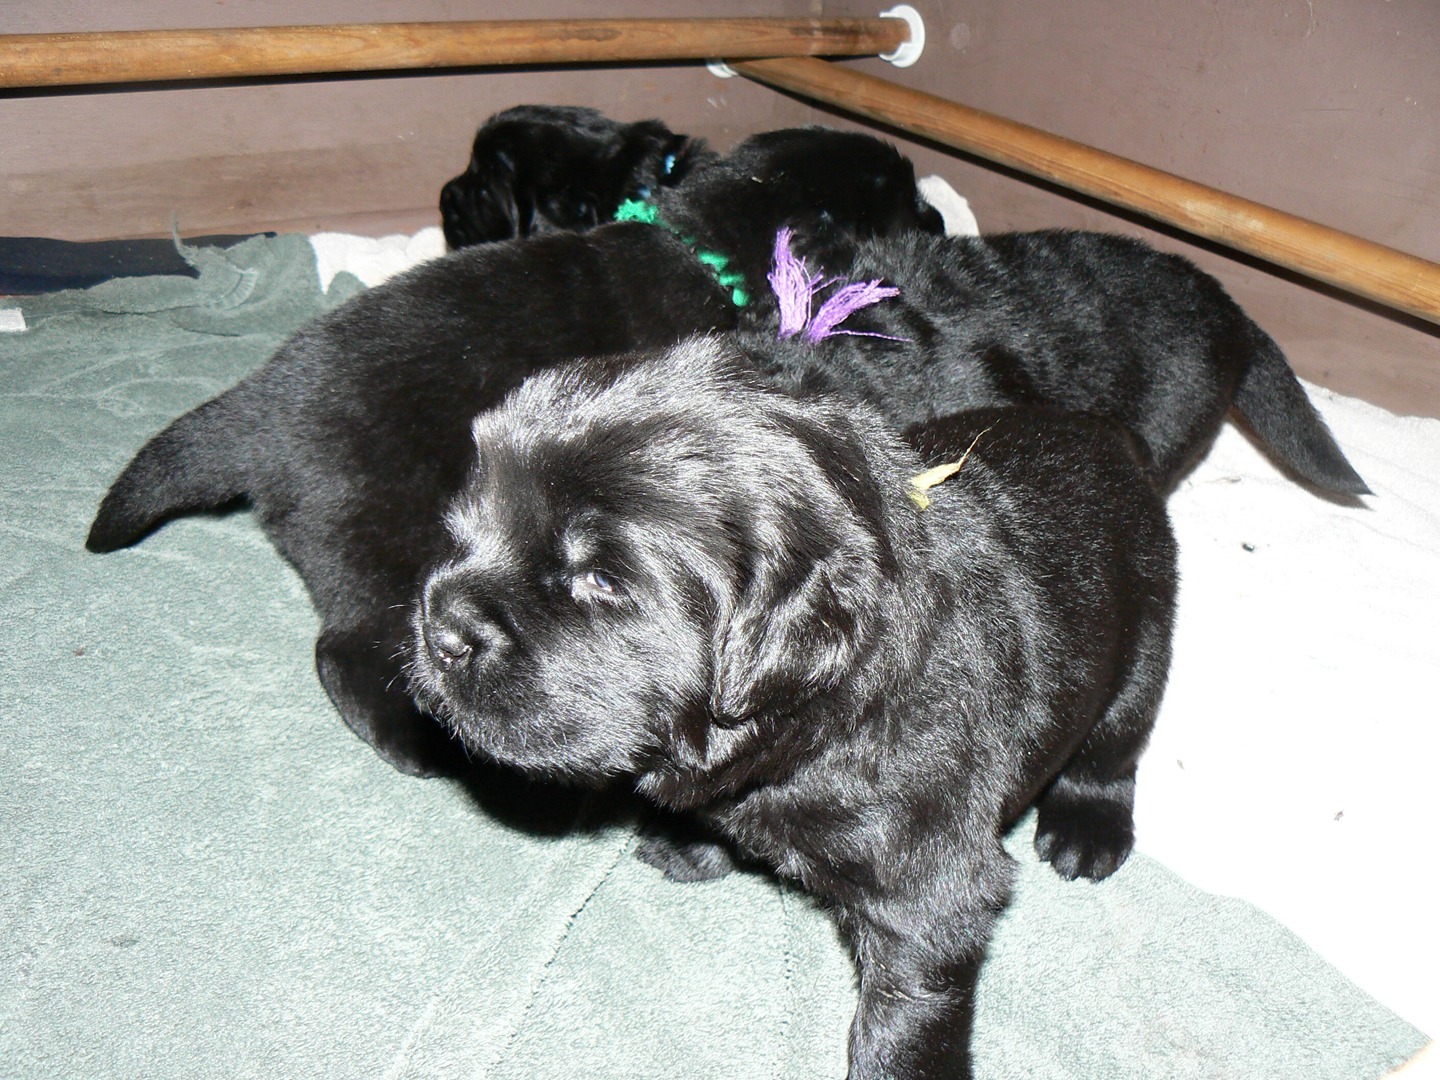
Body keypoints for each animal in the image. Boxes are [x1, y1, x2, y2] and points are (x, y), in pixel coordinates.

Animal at [90, 131, 944, 783]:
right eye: (899, 195)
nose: (940, 216)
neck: (698, 244)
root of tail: (256, 407)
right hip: (378, 543)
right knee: (342, 652)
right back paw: (417, 743)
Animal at [408, 334, 1180, 1077]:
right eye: (467, 526)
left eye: (600, 578)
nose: (439, 629)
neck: (829, 720)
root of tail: (1114, 437)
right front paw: (691, 841)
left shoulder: (929, 894)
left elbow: (904, 1018)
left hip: (1145, 638)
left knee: (1112, 751)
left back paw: (1087, 831)